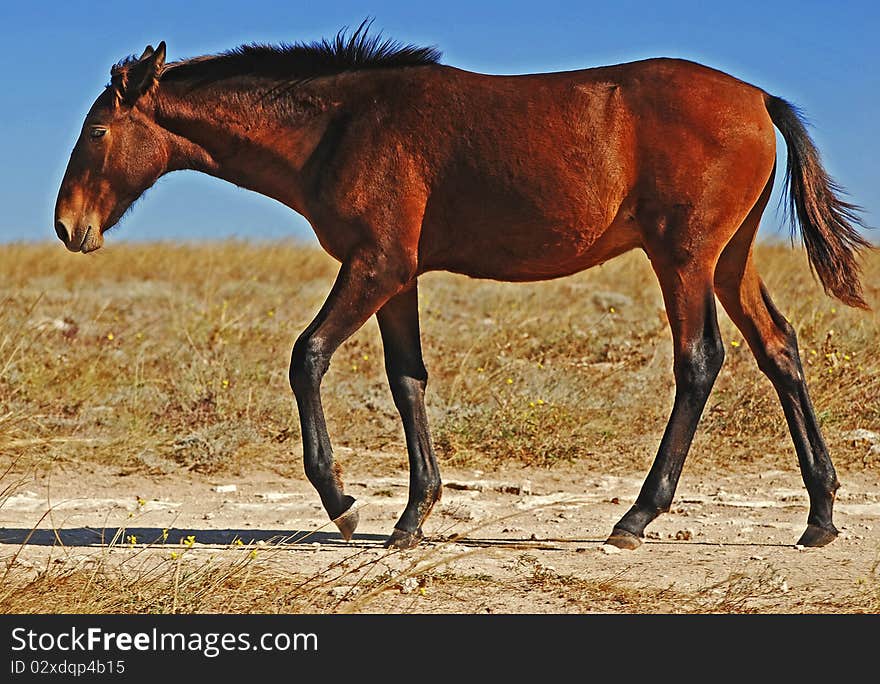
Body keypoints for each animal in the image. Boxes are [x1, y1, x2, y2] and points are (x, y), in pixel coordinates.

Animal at [51, 25, 868, 552]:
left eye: (95, 132)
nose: (67, 226)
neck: (342, 125)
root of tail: (759, 99)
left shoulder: (374, 265)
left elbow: (306, 356)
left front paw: (344, 504)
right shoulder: (397, 277)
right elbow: (407, 379)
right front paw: (413, 516)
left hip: (685, 258)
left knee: (700, 361)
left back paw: (637, 518)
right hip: (729, 260)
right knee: (779, 350)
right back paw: (820, 517)